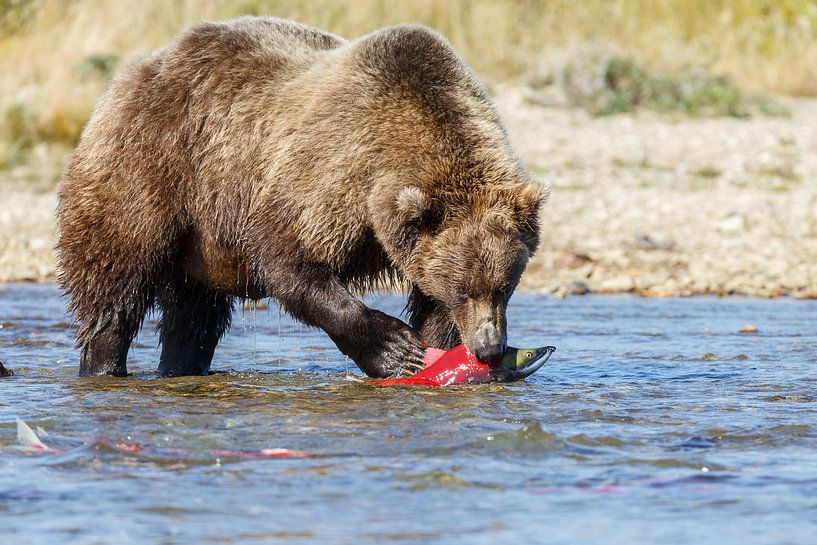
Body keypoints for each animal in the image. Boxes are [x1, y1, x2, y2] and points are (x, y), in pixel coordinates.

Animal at [57, 14, 548, 376]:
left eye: (506, 286)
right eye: (465, 288)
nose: (489, 348)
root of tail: (135, 71)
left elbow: (431, 305)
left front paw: (437, 348)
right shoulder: (330, 174)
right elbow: (288, 258)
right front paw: (395, 350)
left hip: (200, 240)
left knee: (193, 316)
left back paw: (182, 365)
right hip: (150, 170)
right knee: (114, 286)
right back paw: (102, 364)